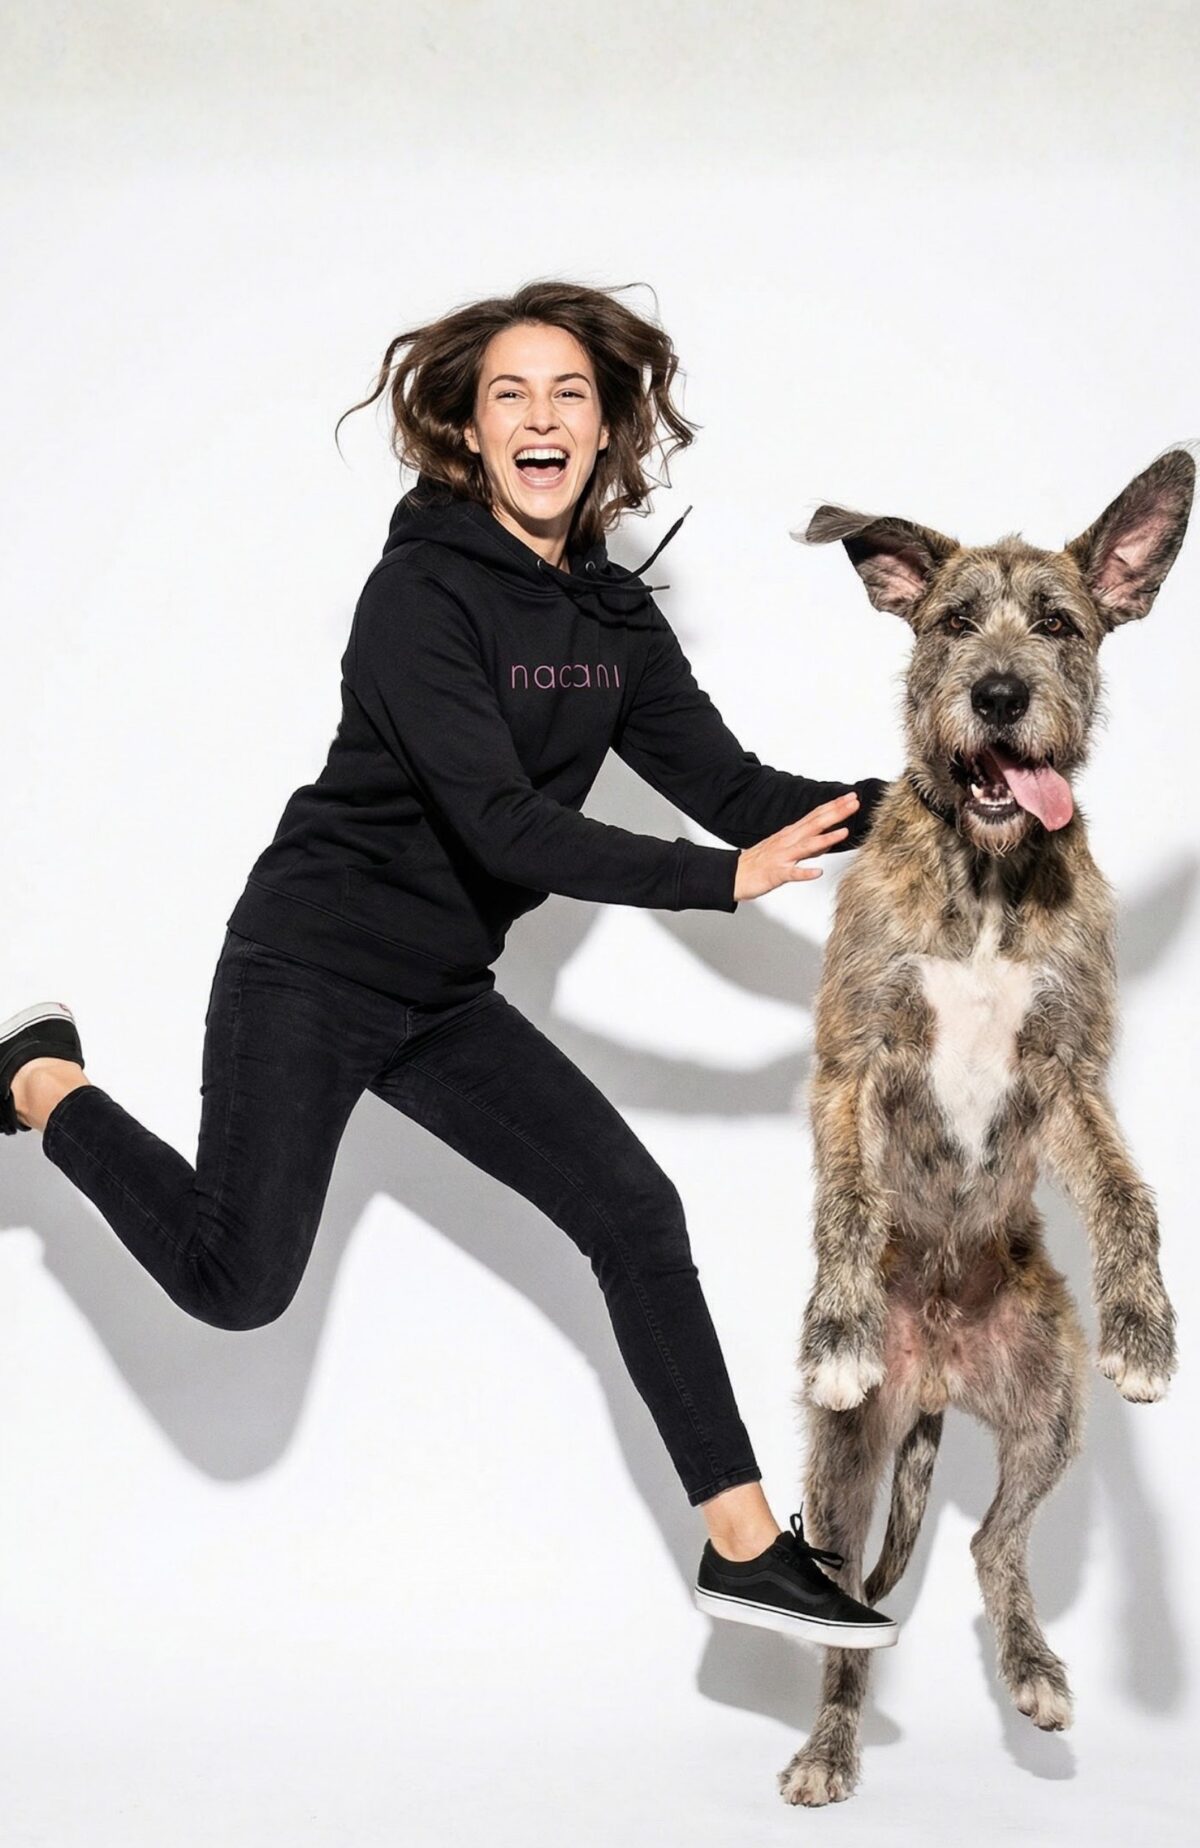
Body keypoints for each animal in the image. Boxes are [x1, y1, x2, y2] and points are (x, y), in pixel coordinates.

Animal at [775, 447, 1194, 1807]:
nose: (1001, 695)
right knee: (845, 1610)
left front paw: (1148, 1325)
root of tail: (943, 1379)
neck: (993, 874)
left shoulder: (1069, 1075)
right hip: (845, 1466)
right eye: (955, 620)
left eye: (1061, 625)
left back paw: (1033, 1670)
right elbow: (848, 1199)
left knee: (994, 1549)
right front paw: (838, 1323)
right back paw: (829, 1744)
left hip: (1050, 1415)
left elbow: (1127, 1192)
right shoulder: (853, 1060)